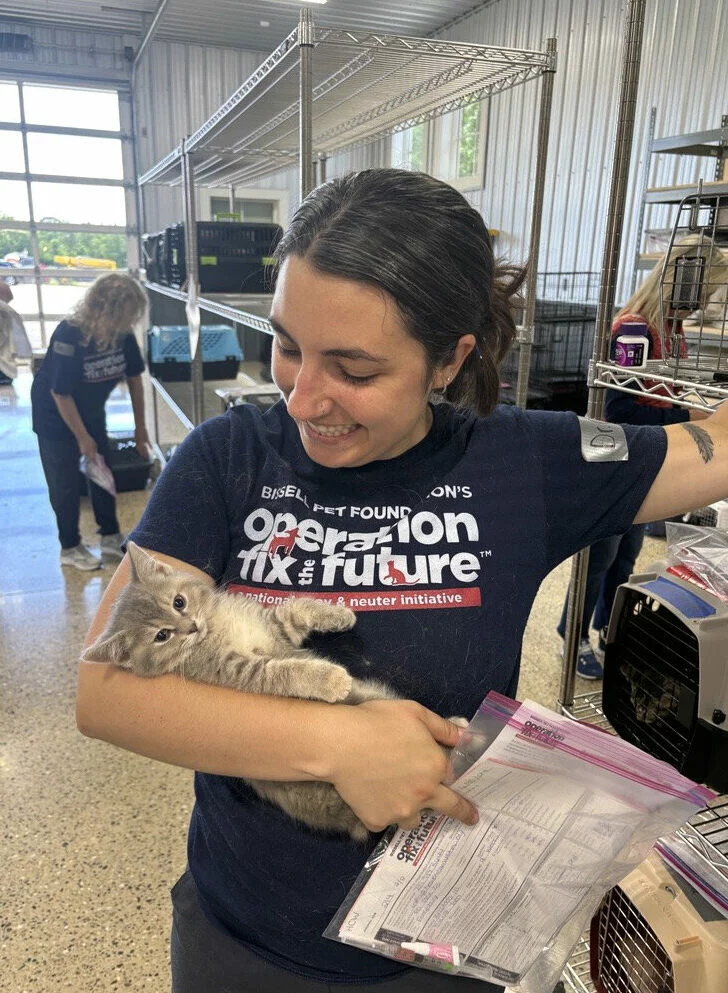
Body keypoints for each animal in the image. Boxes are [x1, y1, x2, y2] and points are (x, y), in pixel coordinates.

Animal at [86, 544, 406, 836]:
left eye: (178, 602)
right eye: (162, 636)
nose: (191, 627)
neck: (216, 627)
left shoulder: (276, 628)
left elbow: (295, 609)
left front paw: (338, 614)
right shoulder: (238, 671)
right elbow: (285, 671)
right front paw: (329, 679)